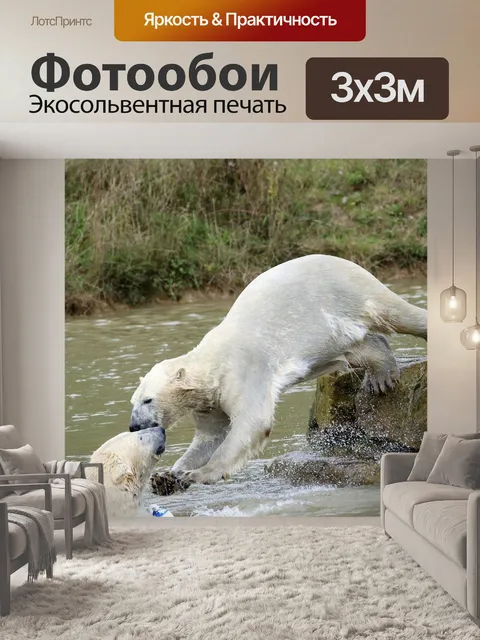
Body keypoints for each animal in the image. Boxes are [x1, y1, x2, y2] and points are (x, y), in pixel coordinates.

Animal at [129, 254, 427, 487]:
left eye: (148, 399)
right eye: (134, 401)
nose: (133, 426)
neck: (212, 364)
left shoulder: (243, 373)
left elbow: (251, 423)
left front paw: (199, 474)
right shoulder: (209, 401)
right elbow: (210, 437)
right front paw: (168, 477)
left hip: (347, 293)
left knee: (397, 314)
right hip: (335, 331)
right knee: (360, 346)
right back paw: (381, 376)